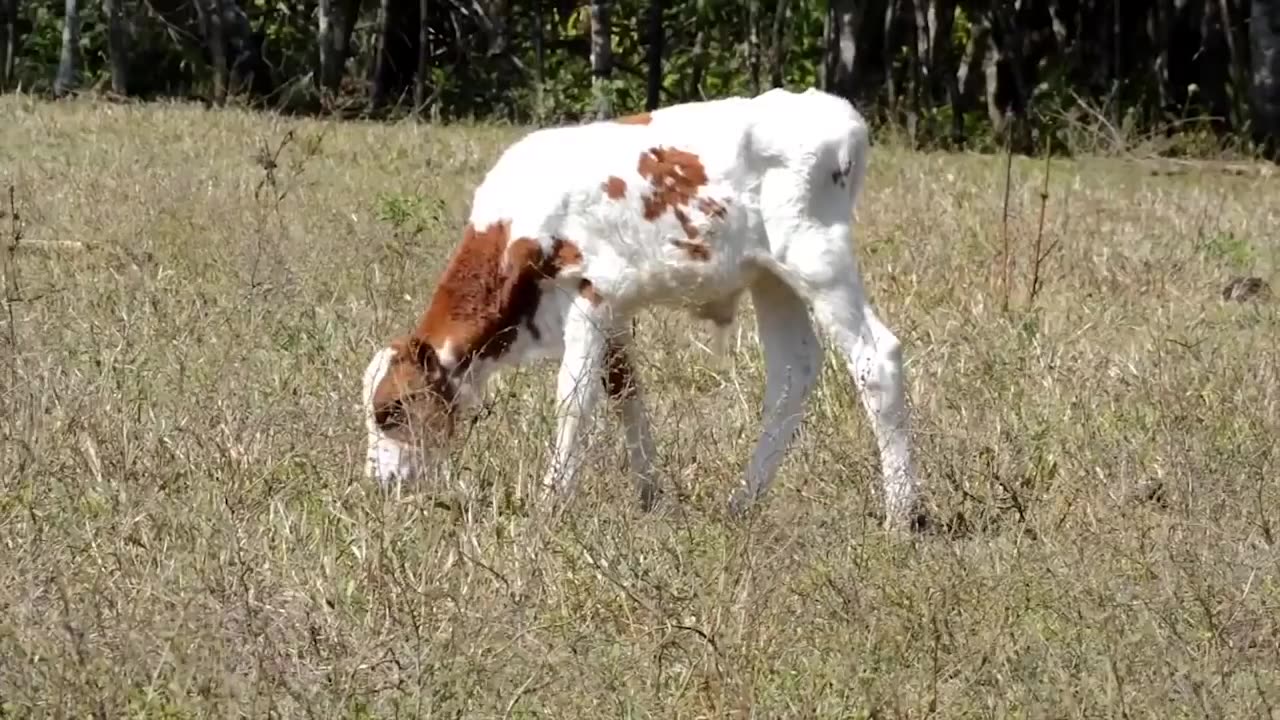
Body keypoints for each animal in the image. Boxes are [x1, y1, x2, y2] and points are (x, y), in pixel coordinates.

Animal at [360, 87, 921, 530]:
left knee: (875, 359)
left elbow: (574, 400)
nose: (379, 481)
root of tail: (836, 114)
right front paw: (651, 494)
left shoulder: (590, 295)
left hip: (817, 260)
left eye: (391, 410)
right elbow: (625, 391)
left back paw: (903, 514)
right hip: (771, 277)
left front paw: (551, 503)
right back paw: (743, 501)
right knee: (792, 373)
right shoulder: (613, 311)